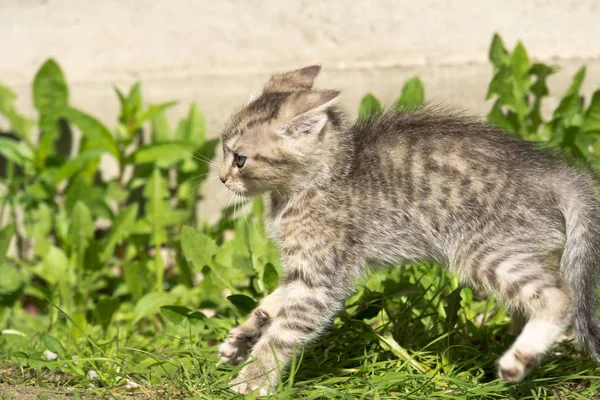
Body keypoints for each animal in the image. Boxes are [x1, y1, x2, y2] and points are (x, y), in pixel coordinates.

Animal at [217, 66, 600, 396]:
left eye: (240, 159)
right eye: (223, 149)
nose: (221, 178)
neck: (324, 175)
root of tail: (554, 172)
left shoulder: (320, 276)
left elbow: (285, 329)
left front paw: (253, 379)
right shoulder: (303, 268)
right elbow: (273, 302)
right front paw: (243, 335)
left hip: (486, 252)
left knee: (560, 297)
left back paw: (518, 359)